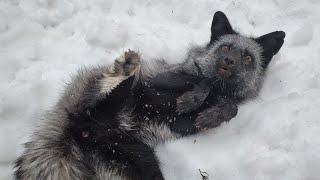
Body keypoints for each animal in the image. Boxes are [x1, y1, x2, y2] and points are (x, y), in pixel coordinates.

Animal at [14, 11, 284, 180]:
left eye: (248, 58)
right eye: (226, 47)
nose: (228, 61)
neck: (220, 90)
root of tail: (77, 129)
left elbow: (232, 106)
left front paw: (214, 114)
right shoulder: (164, 77)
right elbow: (202, 79)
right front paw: (192, 99)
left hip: (141, 160)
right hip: (107, 96)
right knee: (95, 97)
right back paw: (123, 69)